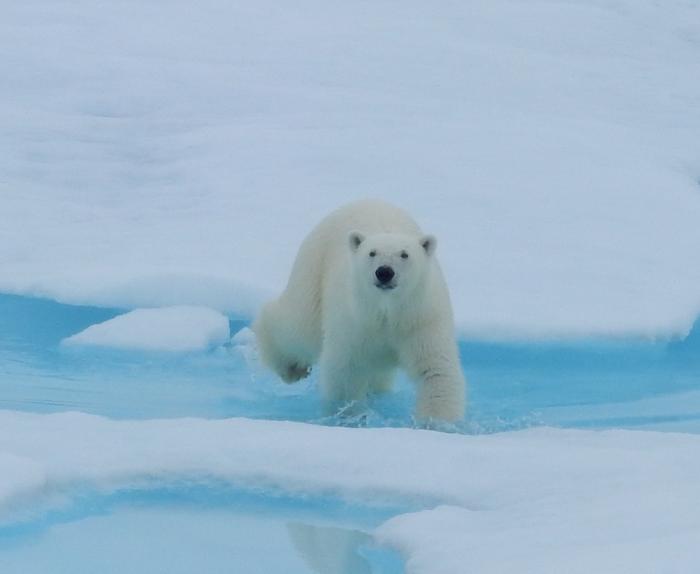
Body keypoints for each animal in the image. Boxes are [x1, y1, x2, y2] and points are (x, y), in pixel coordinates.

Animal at [252, 201, 464, 424]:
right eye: (372, 253)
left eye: (405, 254)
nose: (384, 272)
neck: (386, 312)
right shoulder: (354, 321)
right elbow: (346, 370)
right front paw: (349, 416)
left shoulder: (421, 319)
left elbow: (435, 370)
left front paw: (436, 424)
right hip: (313, 267)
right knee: (298, 325)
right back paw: (292, 369)